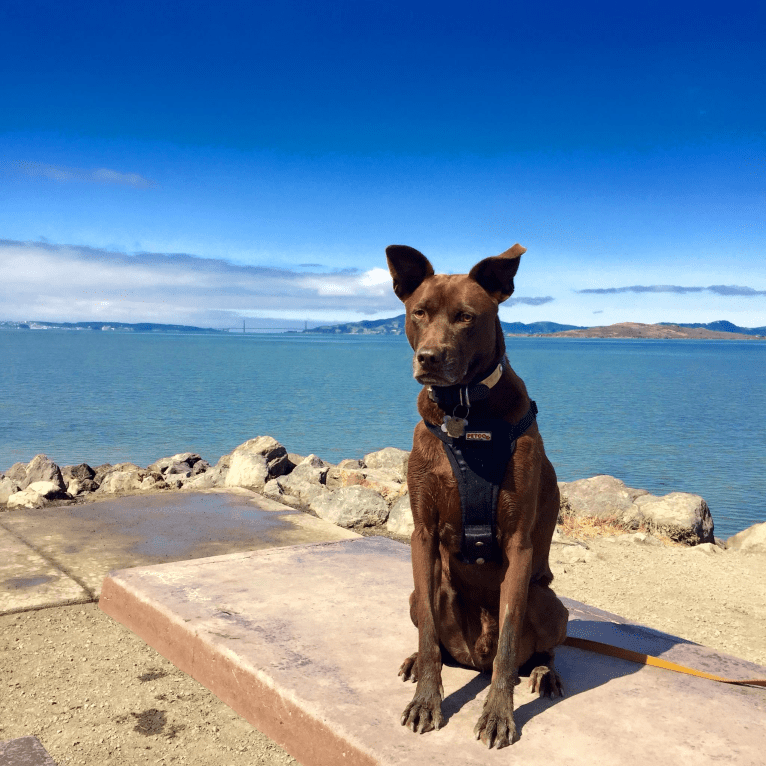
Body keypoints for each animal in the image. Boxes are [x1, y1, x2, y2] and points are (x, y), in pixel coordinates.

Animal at [384, 244, 568, 752]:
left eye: (466, 317)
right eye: (418, 312)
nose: (429, 358)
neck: (466, 415)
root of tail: (473, 660)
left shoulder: (519, 544)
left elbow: (508, 640)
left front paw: (499, 714)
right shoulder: (422, 534)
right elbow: (429, 634)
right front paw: (427, 700)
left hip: (549, 602)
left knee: (533, 650)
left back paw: (543, 673)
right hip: (420, 591)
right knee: (438, 639)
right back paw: (416, 662)